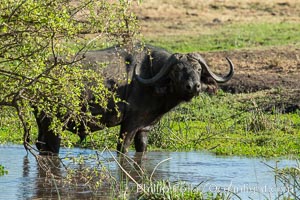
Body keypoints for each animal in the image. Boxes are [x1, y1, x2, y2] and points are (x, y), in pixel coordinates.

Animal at [34, 44, 232, 154]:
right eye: (177, 70)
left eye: (198, 69)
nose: (193, 86)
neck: (150, 76)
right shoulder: (130, 124)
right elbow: (122, 149)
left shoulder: (144, 128)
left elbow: (142, 149)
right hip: (54, 124)